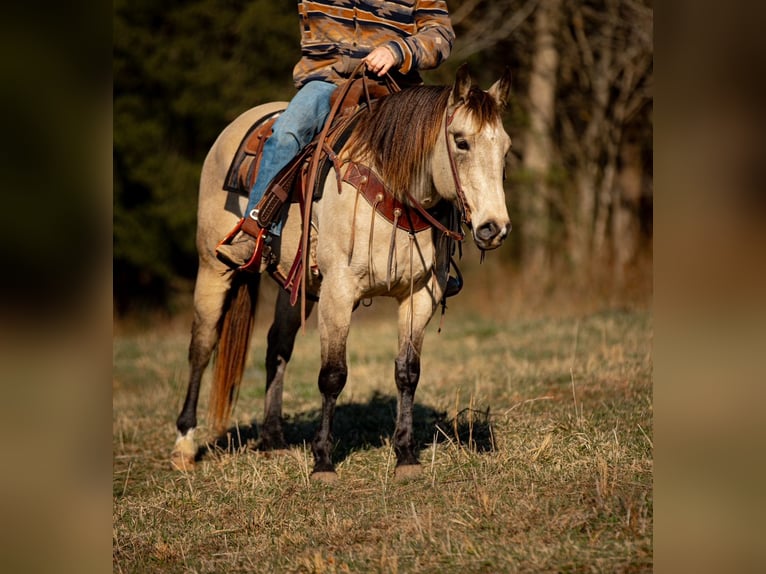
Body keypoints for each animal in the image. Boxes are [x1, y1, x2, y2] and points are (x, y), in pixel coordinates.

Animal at [171, 64, 513, 480]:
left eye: (505, 148)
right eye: (461, 142)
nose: (494, 228)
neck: (392, 190)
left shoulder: (420, 295)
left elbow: (407, 371)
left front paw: (406, 455)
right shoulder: (339, 291)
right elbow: (332, 374)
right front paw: (323, 461)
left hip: (297, 286)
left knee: (277, 348)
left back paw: (273, 439)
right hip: (213, 268)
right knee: (202, 347)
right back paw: (185, 443)